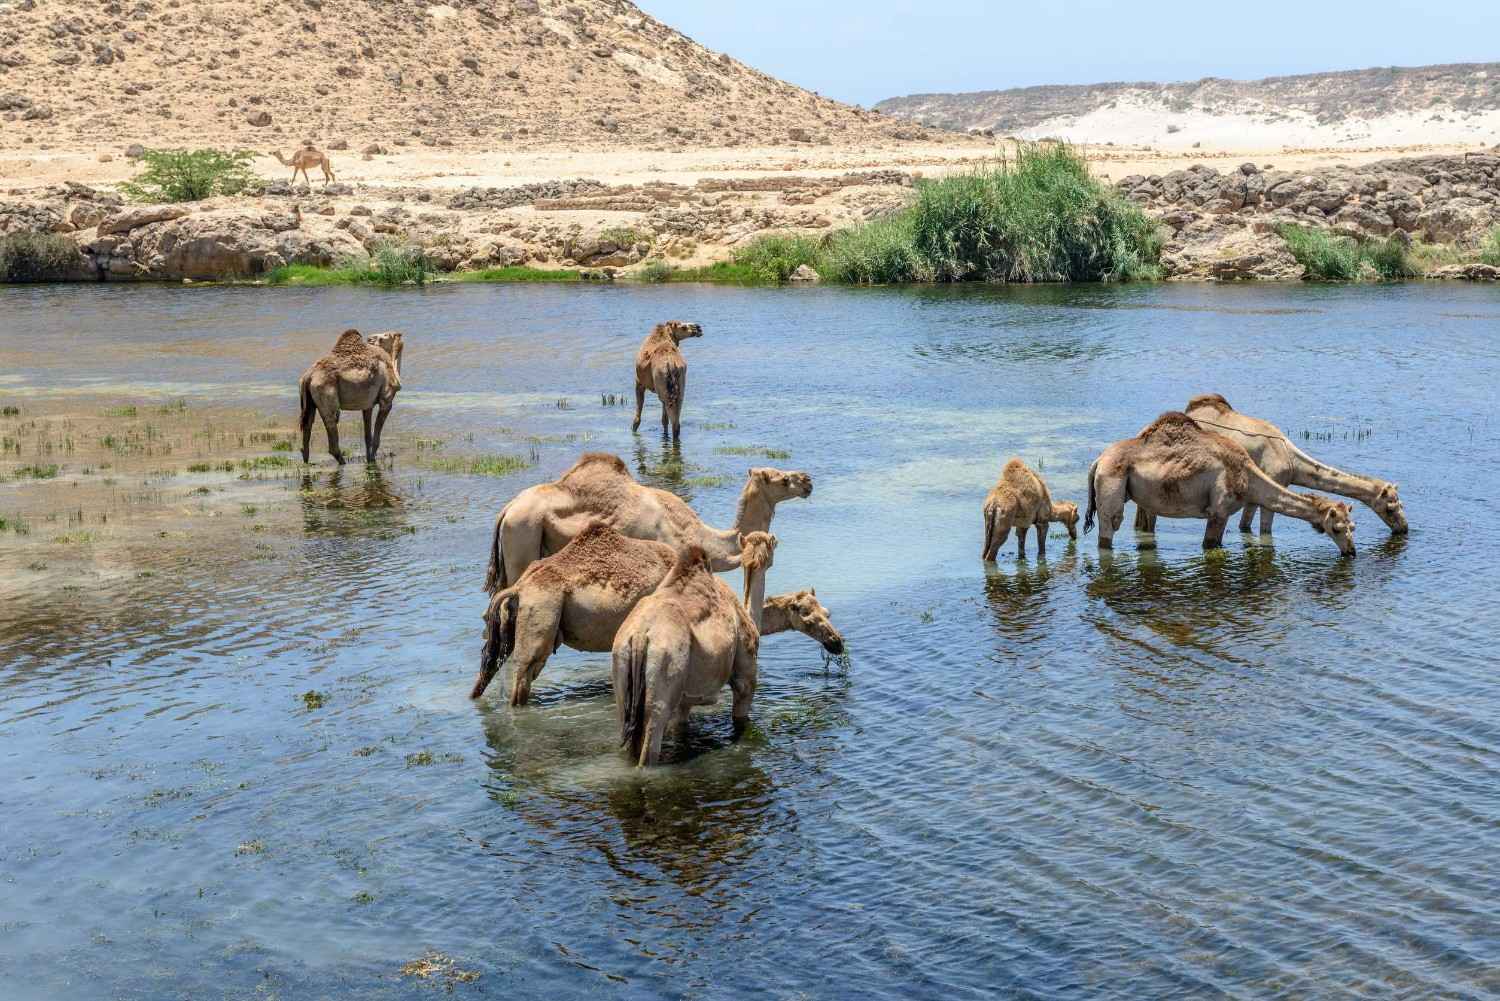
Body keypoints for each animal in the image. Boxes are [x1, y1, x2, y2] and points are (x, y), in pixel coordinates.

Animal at [298, 329, 403, 465]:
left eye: (386, 335)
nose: (370, 339)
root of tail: (308, 376)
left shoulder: (367, 405)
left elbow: (368, 436)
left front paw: (369, 460)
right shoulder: (386, 400)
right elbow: (376, 439)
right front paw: (372, 460)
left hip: (309, 401)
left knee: (307, 425)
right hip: (325, 394)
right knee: (332, 429)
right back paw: (343, 462)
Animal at [471, 522, 844, 705]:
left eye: (826, 610)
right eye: (806, 613)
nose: (836, 642)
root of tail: (520, 588)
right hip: (542, 617)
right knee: (522, 678)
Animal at [612, 546, 760, 767]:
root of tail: (639, 635)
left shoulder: (684, 698)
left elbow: (681, 724)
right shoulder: (745, 673)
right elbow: (741, 709)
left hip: (621, 674)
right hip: (665, 670)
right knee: (650, 740)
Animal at [1085, 412, 1357, 556]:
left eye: (1352, 526)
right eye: (1336, 528)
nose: (1351, 552)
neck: (1248, 478)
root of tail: (1097, 461)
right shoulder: (1218, 510)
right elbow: (1210, 545)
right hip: (1111, 483)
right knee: (1109, 526)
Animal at [1136, 393, 1406, 537]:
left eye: (1400, 504)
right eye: (1390, 507)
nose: (1404, 528)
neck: (1295, 466)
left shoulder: (1255, 495)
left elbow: (1245, 526)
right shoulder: (1273, 484)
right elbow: (1265, 532)